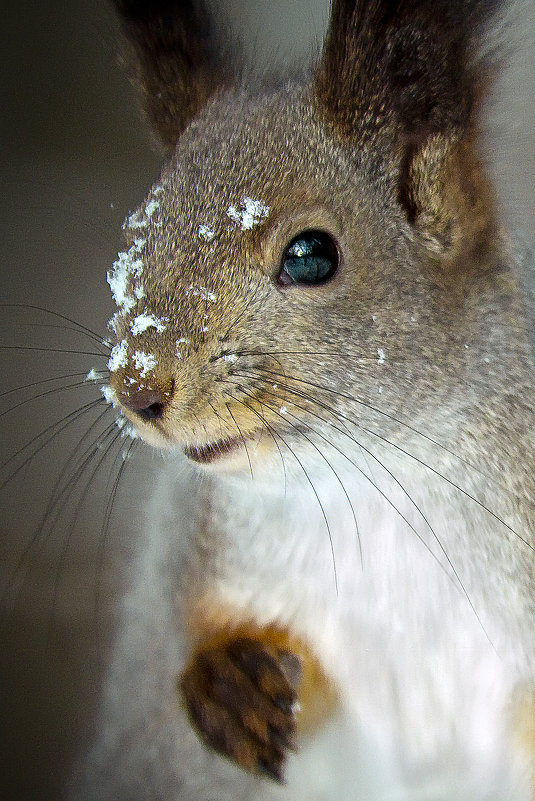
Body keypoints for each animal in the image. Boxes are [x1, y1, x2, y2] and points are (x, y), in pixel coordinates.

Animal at [69, 1, 532, 800]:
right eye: (134, 242)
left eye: (311, 255)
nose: (137, 387)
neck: (376, 486)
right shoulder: (193, 557)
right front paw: (227, 686)